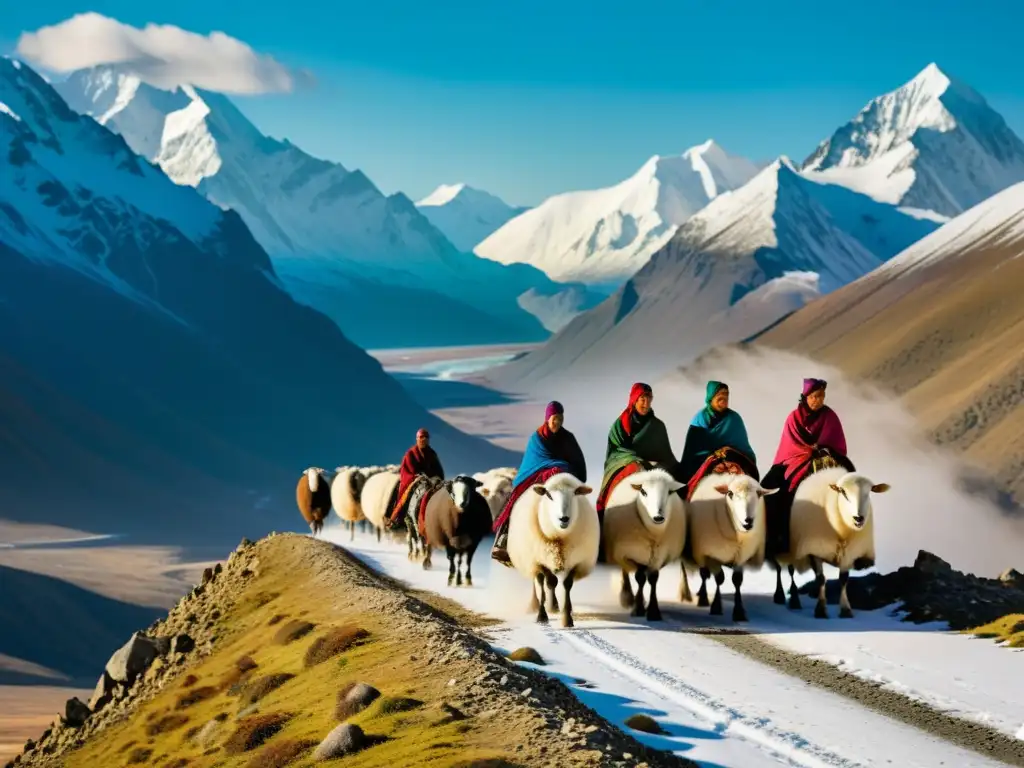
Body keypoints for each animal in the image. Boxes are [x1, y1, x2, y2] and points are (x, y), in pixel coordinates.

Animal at [505, 473, 598, 626]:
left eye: (575, 493)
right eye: (548, 495)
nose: (564, 519)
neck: (559, 540)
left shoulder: (576, 561)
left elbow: (566, 584)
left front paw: (567, 618)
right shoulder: (539, 560)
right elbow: (548, 583)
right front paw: (542, 615)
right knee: (541, 582)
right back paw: (540, 605)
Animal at [598, 468, 688, 626]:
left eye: (670, 492)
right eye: (644, 492)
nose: (658, 517)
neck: (654, 534)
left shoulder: (659, 555)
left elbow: (653, 578)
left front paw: (653, 611)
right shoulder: (632, 554)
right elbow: (640, 578)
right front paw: (638, 608)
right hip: (622, 552)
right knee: (625, 571)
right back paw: (627, 597)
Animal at [684, 473, 778, 622]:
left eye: (759, 494)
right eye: (730, 493)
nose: (748, 521)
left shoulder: (741, 555)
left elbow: (737, 581)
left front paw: (739, 612)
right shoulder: (712, 555)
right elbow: (719, 578)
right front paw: (716, 606)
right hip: (701, 551)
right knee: (704, 573)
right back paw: (702, 597)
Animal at [774, 468, 888, 618]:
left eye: (868, 492)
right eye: (843, 492)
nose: (858, 518)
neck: (842, 532)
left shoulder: (849, 553)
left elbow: (843, 579)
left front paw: (845, 609)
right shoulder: (814, 549)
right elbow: (821, 579)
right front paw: (821, 609)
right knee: (784, 568)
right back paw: (786, 597)